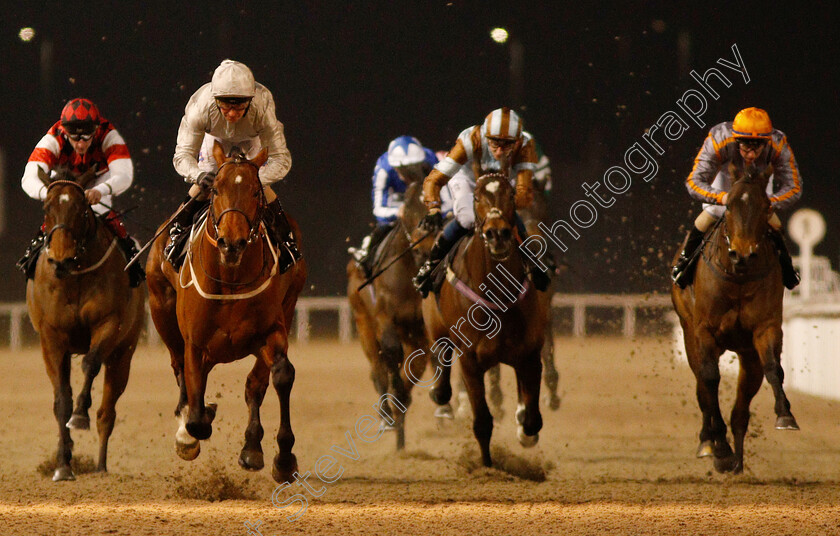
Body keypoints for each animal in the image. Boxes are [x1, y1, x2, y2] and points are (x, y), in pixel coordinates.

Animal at [25, 166, 144, 482]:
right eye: (46, 206)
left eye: (81, 208)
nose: (60, 259)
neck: (75, 275)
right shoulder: (52, 338)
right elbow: (61, 402)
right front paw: (63, 465)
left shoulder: (109, 323)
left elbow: (90, 364)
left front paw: (80, 416)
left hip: (124, 353)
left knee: (107, 412)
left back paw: (101, 465)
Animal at [146, 141, 306, 482]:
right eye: (216, 188)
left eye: (256, 192)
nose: (231, 243)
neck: (230, 278)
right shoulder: (195, 343)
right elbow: (195, 412)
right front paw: (191, 431)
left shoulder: (271, 330)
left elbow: (281, 374)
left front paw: (283, 457)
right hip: (160, 309)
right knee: (179, 369)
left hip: (287, 306)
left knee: (255, 383)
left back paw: (252, 447)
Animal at [346, 180, 434, 448]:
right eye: (407, 211)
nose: (426, 245)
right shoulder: (385, 319)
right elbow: (391, 357)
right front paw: (393, 413)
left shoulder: (420, 331)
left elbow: (416, 364)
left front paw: (402, 403)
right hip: (363, 323)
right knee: (378, 369)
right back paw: (386, 415)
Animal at [424, 174, 548, 466]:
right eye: (478, 197)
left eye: (511, 195)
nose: (497, 233)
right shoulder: (470, 361)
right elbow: (482, 422)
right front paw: (488, 467)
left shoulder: (529, 354)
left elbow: (532, 420)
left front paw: (523, 430)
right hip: (437, 330)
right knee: (442, 365)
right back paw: (439, 396)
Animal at [672, 163, 796, 474]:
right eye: (728, 206)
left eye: (765, 206)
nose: (742, 255)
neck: (738, 278)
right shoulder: (703, 332)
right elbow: (709, 379)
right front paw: (720, 448)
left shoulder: (765, 328)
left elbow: (773, 368)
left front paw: (785, 415)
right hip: (689, 335)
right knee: (702, 388)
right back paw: (711, 443)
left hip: (747, 354)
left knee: (741, 407)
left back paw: (738, 459)